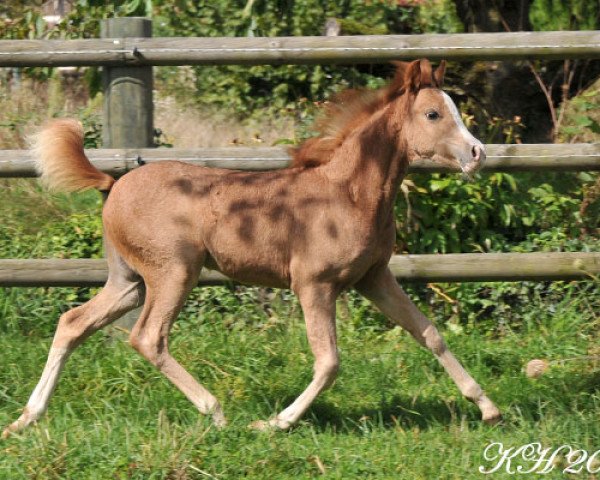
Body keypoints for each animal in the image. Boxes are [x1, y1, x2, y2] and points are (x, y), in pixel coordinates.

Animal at [3, 60, 502, 438]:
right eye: (434, 115)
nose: (477, 153)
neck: (349, 192)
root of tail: (113, 183)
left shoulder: (373, 277)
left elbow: (429, 333)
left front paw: (488, 407)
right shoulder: (314, 285)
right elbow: (329, 361)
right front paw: (274, 423)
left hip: (130, 281)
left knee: (73, 323)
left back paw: (25, 419)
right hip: (173, 272)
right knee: (147, 337)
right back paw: (216, 412)